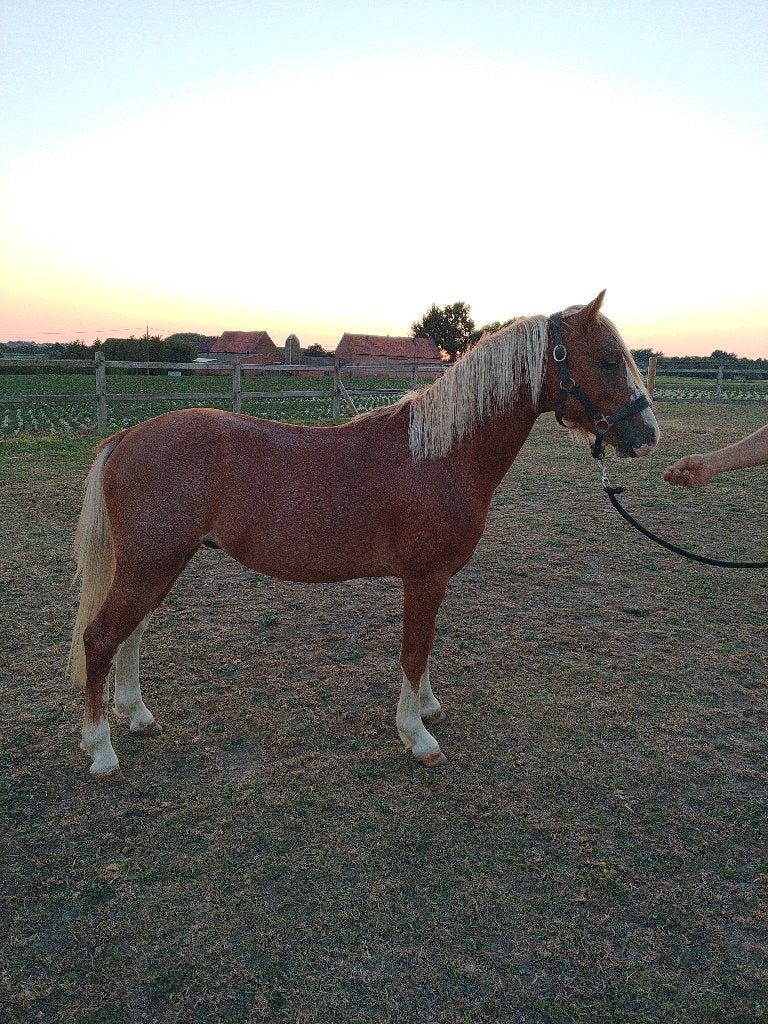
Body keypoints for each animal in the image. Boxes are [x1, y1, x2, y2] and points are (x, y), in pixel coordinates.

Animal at [69, 291, 660, 780]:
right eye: (609, 359)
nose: (647, 434)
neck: (442, 454)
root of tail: (126, 436)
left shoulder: (432, 581)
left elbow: (425, 646)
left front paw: (426, 709)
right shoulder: (425, 578)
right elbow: (413, 651)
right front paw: (416, 736)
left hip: (161, 562)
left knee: (131, 633)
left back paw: (137, 714)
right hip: (152, 562)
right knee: (101, 637)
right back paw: (101, 751)